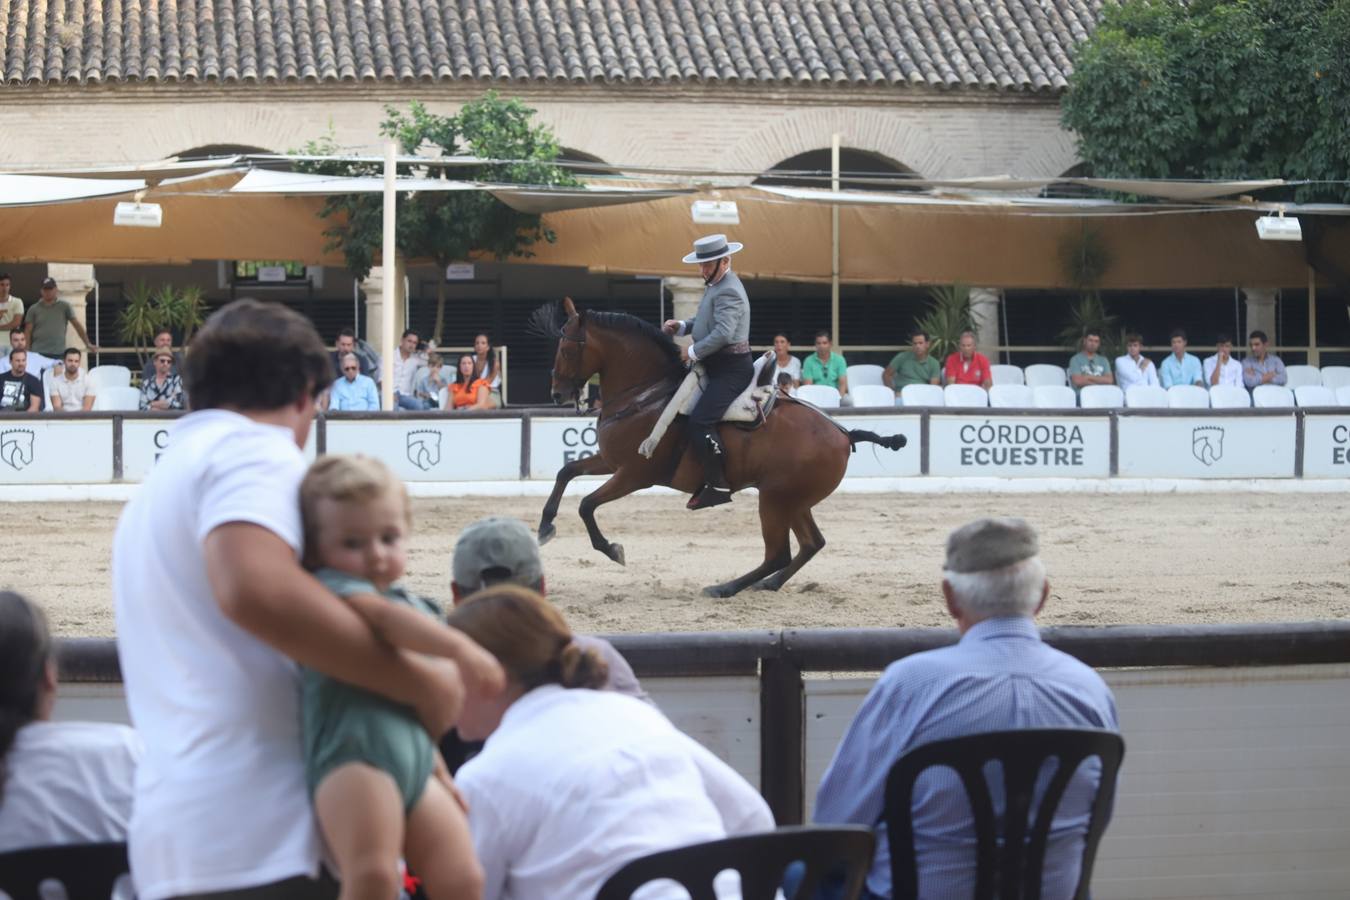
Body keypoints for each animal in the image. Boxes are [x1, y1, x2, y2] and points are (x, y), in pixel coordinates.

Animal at [531, 296, 901, 599]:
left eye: (567, 349)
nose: (556, 394)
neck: (645, 395)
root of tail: (843, 434)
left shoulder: (635, 474)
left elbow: (586, 505)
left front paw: (611, 549)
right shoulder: (612, 462)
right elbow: (566, 471)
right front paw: (545, 526)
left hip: (775, 499)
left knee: (778, 553)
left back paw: (725, 587)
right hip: (794, 502)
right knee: (811, 544)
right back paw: (769, 584)